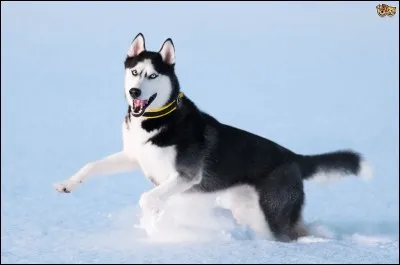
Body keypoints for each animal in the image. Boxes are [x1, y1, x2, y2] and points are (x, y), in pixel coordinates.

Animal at [54, 33, 374, 241]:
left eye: (153, 76)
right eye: (134, 72)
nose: (135, 92)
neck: (156, 120)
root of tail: (293, 157)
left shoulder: (186, 176)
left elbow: (148, 198)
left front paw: (154, 227)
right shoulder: (135, 156)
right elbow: (92, 166)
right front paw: (67, 184)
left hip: (275, 210)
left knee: (294, 232)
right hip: (248, 208)